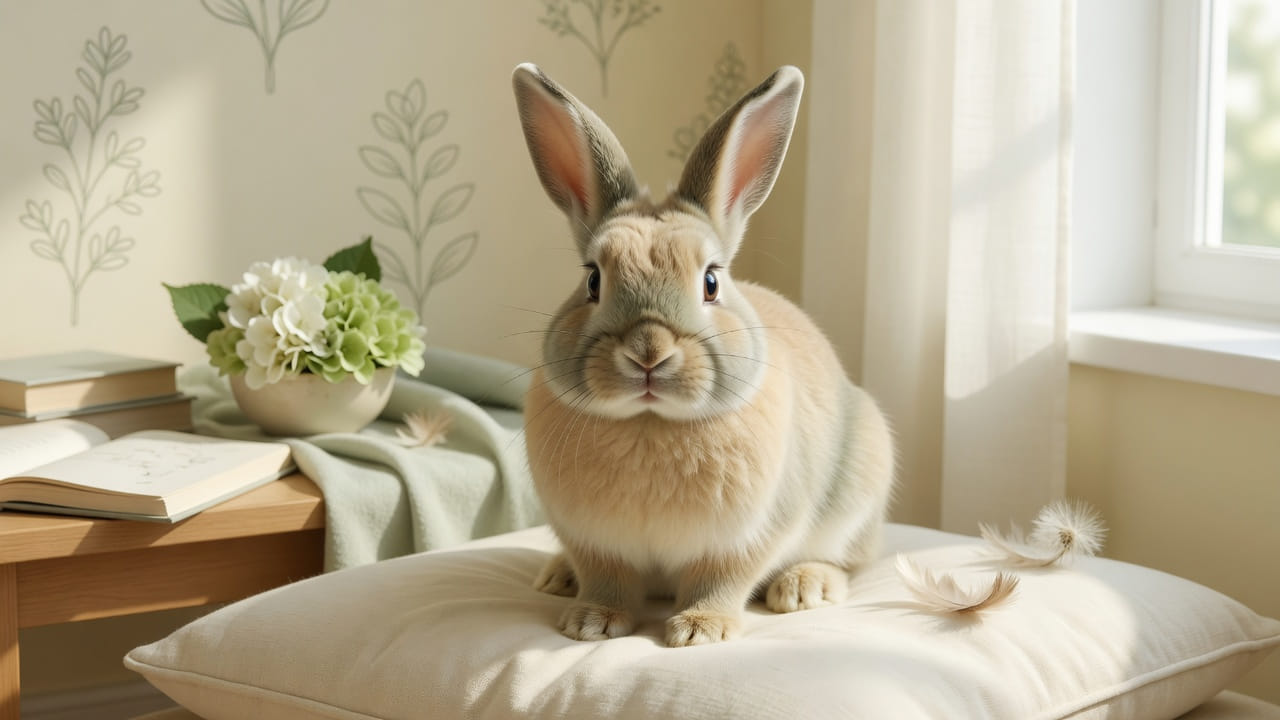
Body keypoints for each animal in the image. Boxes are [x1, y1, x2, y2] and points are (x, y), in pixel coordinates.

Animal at [512, 62, 895, 648]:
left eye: (711, 282)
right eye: (593, 280)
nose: (648, 353)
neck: (650, 422)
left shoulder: (746, 538)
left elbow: (720, 580)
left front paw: (700, 630)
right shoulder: (594, 542)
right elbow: (606, 579)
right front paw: (591, 623)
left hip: (857, 494)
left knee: (851, 561)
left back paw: (804, 587)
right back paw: (558, 577)